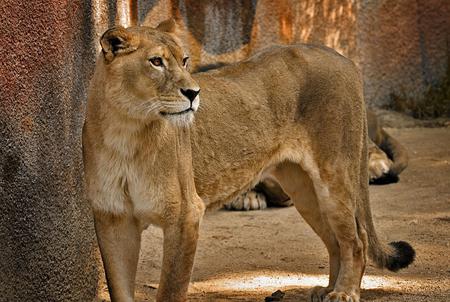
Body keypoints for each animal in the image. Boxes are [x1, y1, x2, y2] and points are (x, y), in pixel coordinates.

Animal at [82, 20, 414, 300]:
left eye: (185, 61)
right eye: (156, 62)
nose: (193, 92)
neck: (126, 133)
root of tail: (341, 57)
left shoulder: (185, 216)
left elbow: (171, 290)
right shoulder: (114, 219)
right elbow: (119, 288)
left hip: (334, 174)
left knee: (356, 240)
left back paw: (344, 293)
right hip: (304, 190)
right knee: (335, 240)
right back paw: (327, 289)